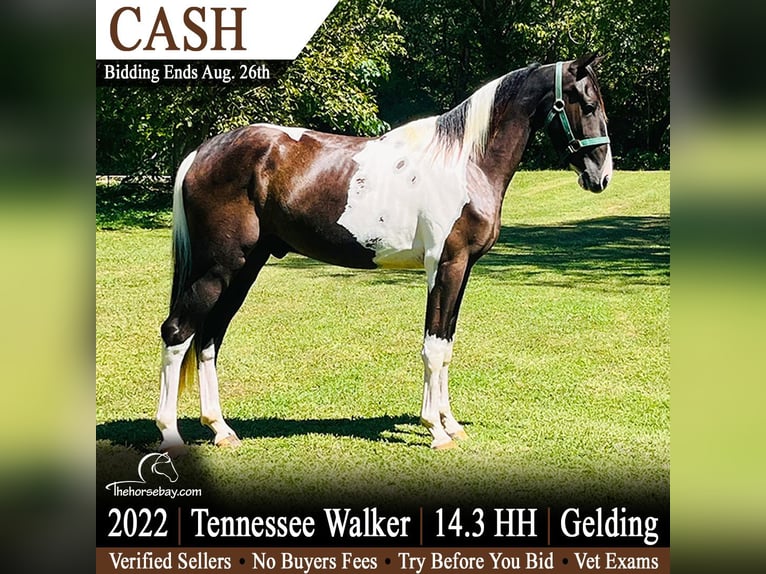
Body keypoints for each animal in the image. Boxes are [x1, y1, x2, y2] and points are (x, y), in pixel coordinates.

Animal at [155, 54, 612, 454]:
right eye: (587, 104)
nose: (602, 177)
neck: (465, 163)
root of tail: (200, 154)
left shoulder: (462, 269)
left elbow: (446, 344)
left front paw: (451, 424)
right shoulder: (444, 266)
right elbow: (433, 346)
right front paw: (435, 431)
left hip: (244, 268)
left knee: (209, 339)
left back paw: (221, 429)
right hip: (218, 268)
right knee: (178, 333)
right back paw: (171, 434)